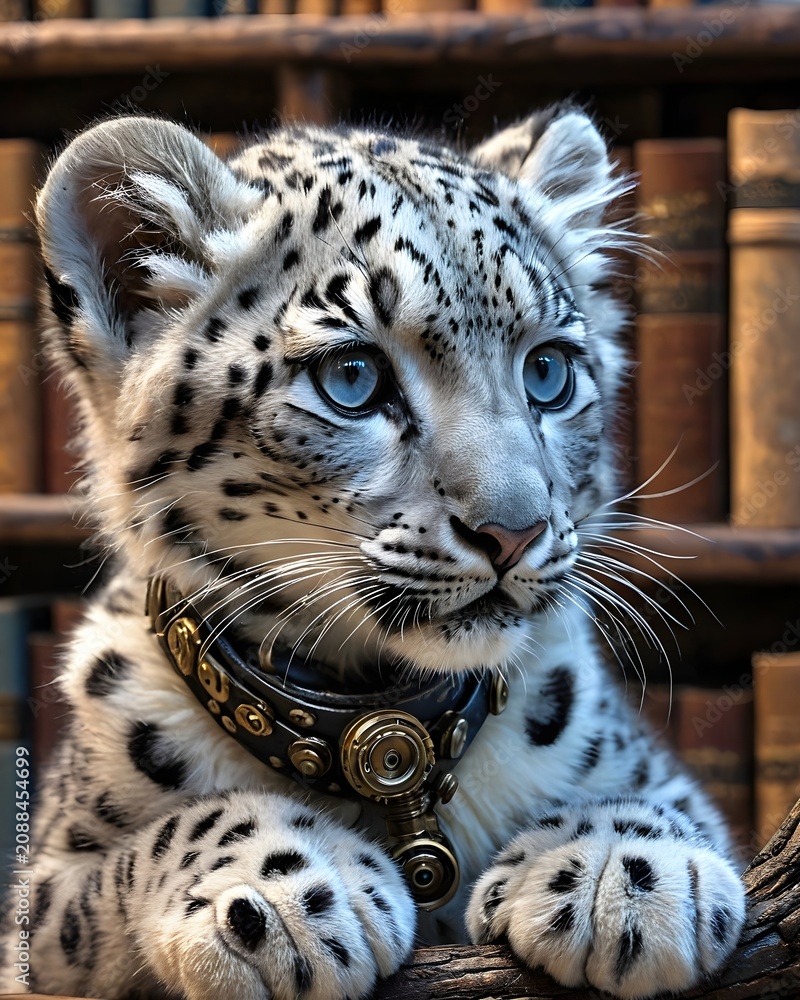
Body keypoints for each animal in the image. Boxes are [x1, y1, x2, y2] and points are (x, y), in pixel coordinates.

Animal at [1, 105, 745, 1000]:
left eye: (549, 370)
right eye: (352, 376)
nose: (516, 530)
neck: (384, 721)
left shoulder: (656, 771)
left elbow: (672, 805)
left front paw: (622, 873)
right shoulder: (44, 899)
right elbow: (145, 852)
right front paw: (277, 896)